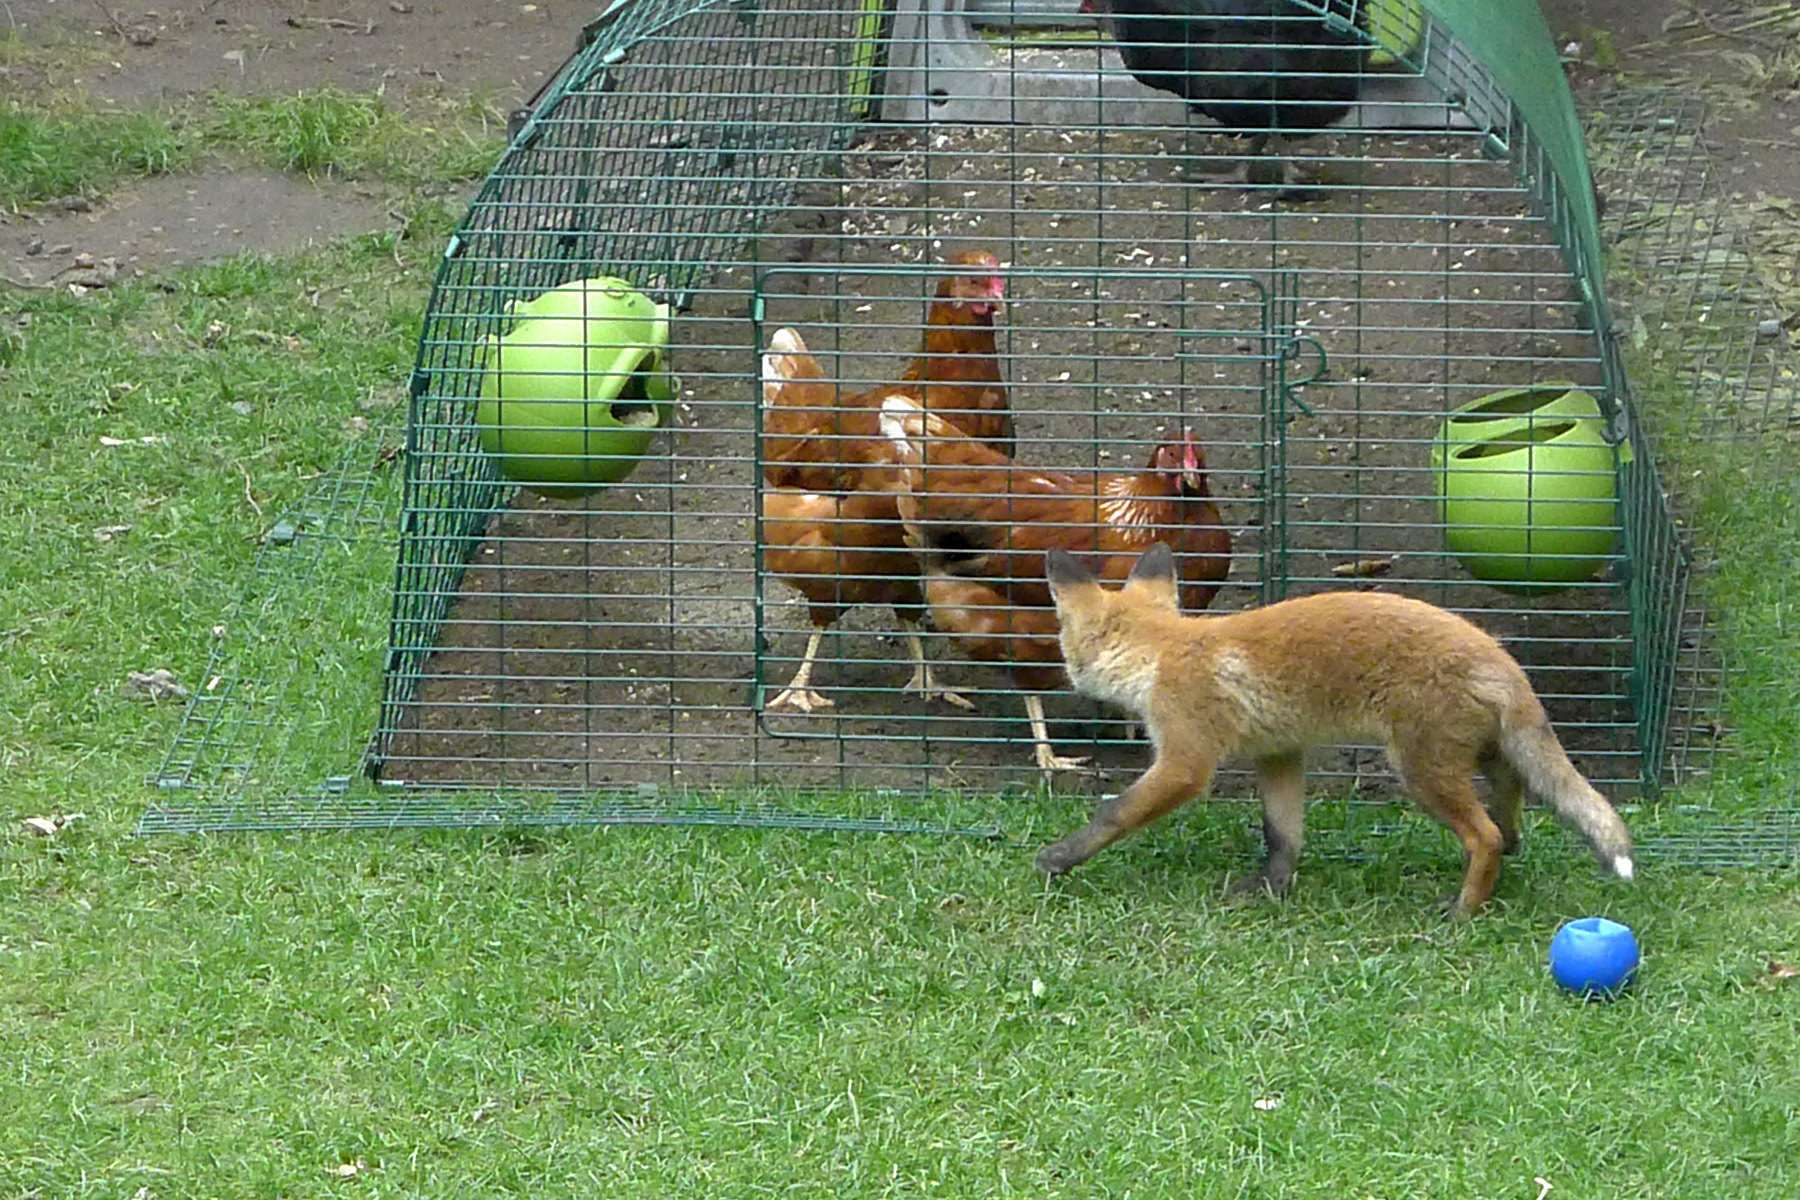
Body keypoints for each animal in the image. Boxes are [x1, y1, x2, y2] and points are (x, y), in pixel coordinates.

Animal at [1036, 543, 1641, 921]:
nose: (1063, 674)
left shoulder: (1186, 759)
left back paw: (1463, 910)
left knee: (1485, 835)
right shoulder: (1279, 753)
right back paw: (1506, 853)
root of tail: (1503, 658)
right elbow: (1283, 836)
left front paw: (1061, 858)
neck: (1161, 654)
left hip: (1420, 770)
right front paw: (1269, 889)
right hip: (1478, 753)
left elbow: (1114, 813)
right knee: (1513, 797)